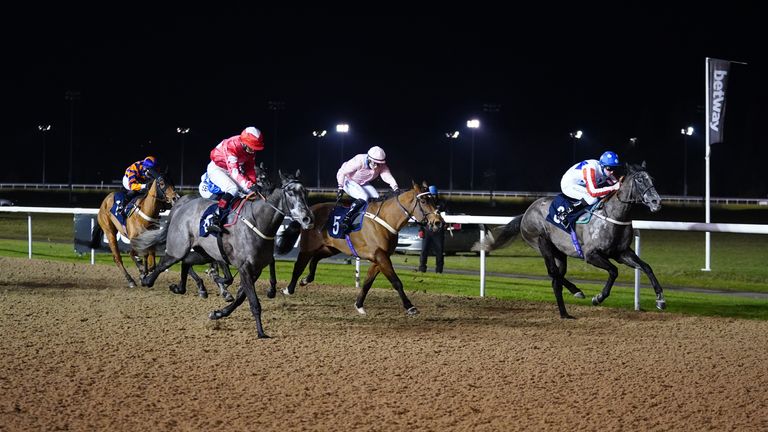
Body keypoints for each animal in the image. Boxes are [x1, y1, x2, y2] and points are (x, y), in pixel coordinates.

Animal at [134, 169, 314, 338]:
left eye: (305, 192)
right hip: (178, 248)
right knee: (165, 263)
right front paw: (261, 332)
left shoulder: (256, 268)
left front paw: (219, 313)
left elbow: (241, 297)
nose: (307, 219)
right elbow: (253, 302)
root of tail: (181, 205)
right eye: (290, 192)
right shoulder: (244, 268)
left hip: (203, 253)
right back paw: (147, 280)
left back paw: (181, 287)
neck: (258, 222)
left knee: (186, 262)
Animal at [284, 181, 444, 316]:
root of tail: (310, 210)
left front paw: (359, 304)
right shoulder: (380, 256)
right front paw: (410, 306)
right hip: (308, 246)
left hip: (332, 247)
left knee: (315, 258)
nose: (438, 222)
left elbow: (368, 282)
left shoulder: (379, 258)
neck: (385, 219)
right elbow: (396, 281)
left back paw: (306, 279)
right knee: (299, 266)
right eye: (423, 201)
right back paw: (288, 289)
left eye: (434, 201)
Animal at [472, 162, 664, 318]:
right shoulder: (591, 255)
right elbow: (614, 271)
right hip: (541, 243)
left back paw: (571, 299)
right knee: (553, 273)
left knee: (558, 274)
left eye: (651, 179)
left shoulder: (621, 252)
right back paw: (575, 292)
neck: (612, 216)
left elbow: (646, 267)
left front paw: (660, 299)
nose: (656, 201)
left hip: (560, 252)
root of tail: (527, 212)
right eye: (640, 180)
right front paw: (598, 297)